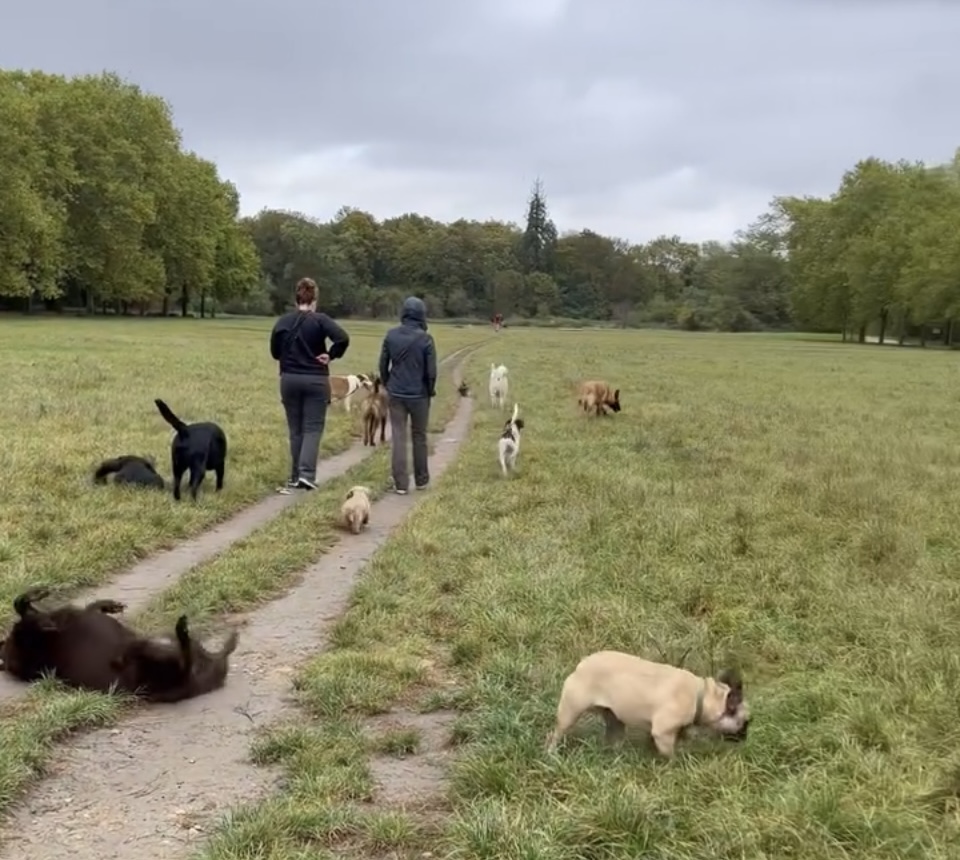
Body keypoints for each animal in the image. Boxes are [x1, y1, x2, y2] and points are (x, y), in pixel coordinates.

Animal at [548, 652, 752, 760]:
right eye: (745, 723)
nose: (744, 737)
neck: (703, 696)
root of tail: (581, 665)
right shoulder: (663, 732)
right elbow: (670, 754)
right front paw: (674, 764)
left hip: (614, 718)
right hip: (570, 711)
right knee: (556, 733)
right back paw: (551, 753)